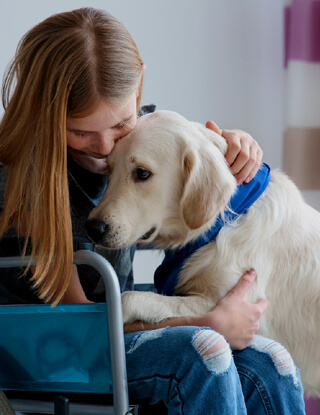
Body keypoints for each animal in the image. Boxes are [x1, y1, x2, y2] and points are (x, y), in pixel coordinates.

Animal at [86, 109, 320, 396]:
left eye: (142, 172)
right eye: (109, 170)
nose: (92, 228)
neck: (217, 226)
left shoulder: (229, 301)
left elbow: (128, 298)